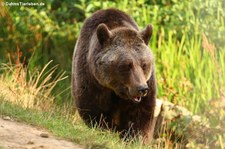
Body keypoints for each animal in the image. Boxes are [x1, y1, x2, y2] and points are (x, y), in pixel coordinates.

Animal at [72, 8, 156, 143]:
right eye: (127, 65)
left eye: (144, 64)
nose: (142, 89)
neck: (116, 91)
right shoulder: (92, 82)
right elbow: (95, 111)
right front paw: (104, 132)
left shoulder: (147, 86)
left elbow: (141, 116)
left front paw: (136, 139)